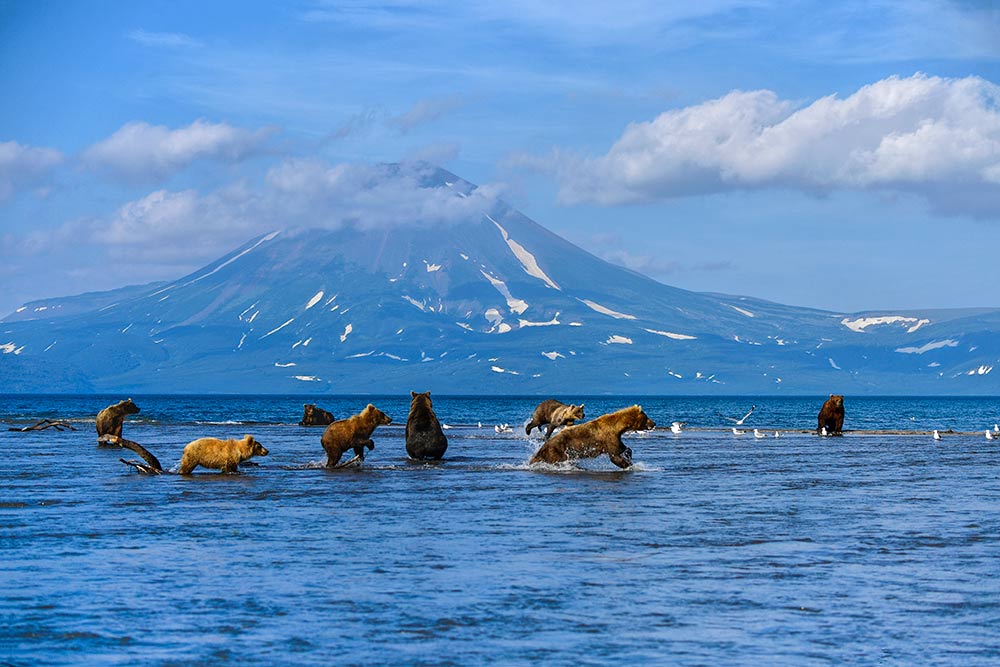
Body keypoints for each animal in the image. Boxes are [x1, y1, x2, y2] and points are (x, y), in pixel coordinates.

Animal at [528, 404, 660, 468]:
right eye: (646, 417)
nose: (654, 423)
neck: (618, 427)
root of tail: (544, 447)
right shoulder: (608, 437)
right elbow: (614, 455)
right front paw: (627, 465)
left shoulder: (615, 437)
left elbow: (623, 448)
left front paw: (629, 457)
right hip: (557, 450)